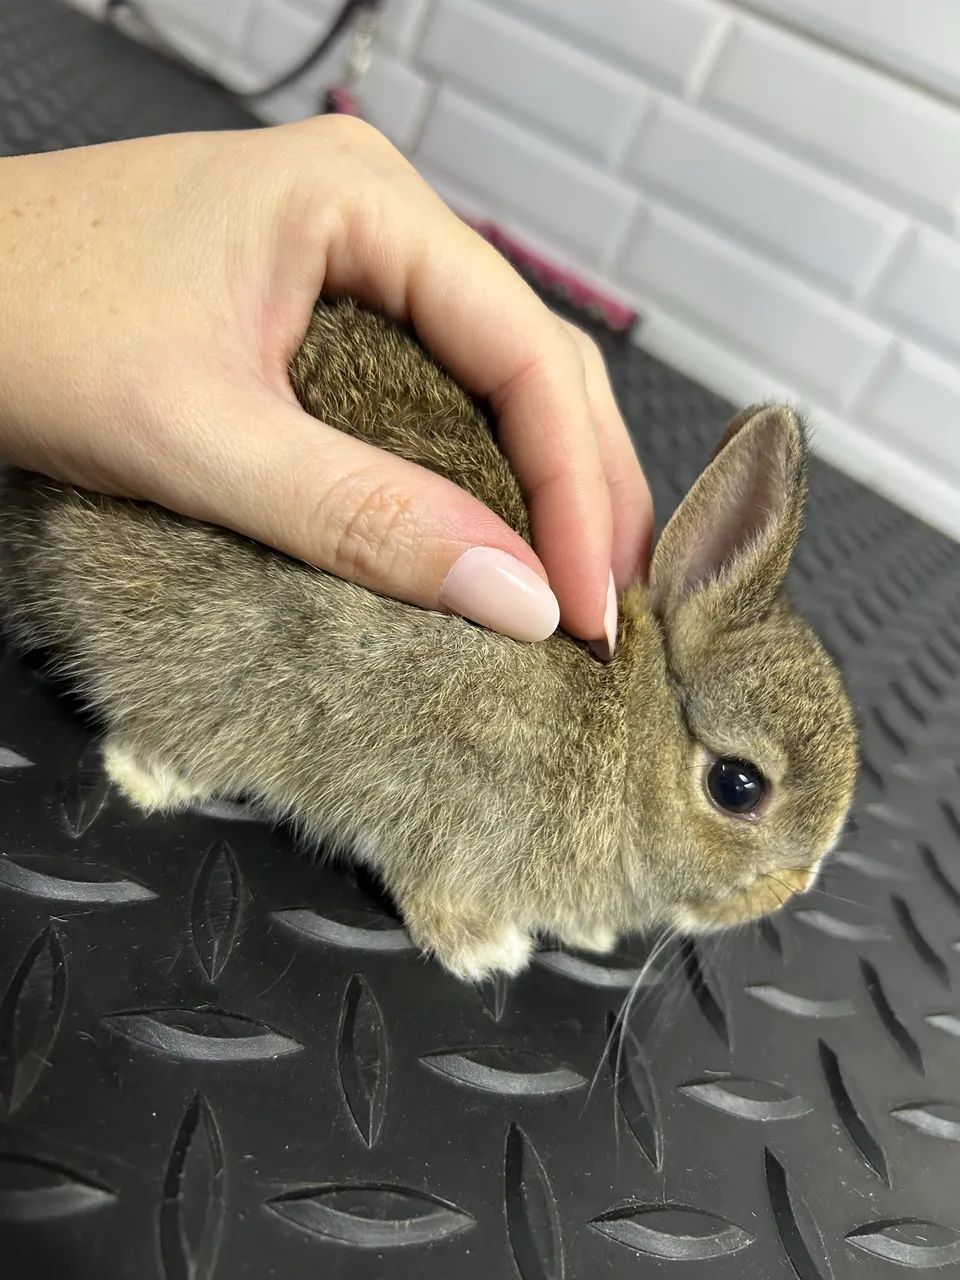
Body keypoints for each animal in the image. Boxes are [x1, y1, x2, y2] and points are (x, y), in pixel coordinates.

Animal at [0, 299, 857, 981]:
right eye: (737, 787)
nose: (795, 888)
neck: (629, 737)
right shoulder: (442, 794)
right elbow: (431, 878)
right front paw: (485, 950)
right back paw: (153, 775)